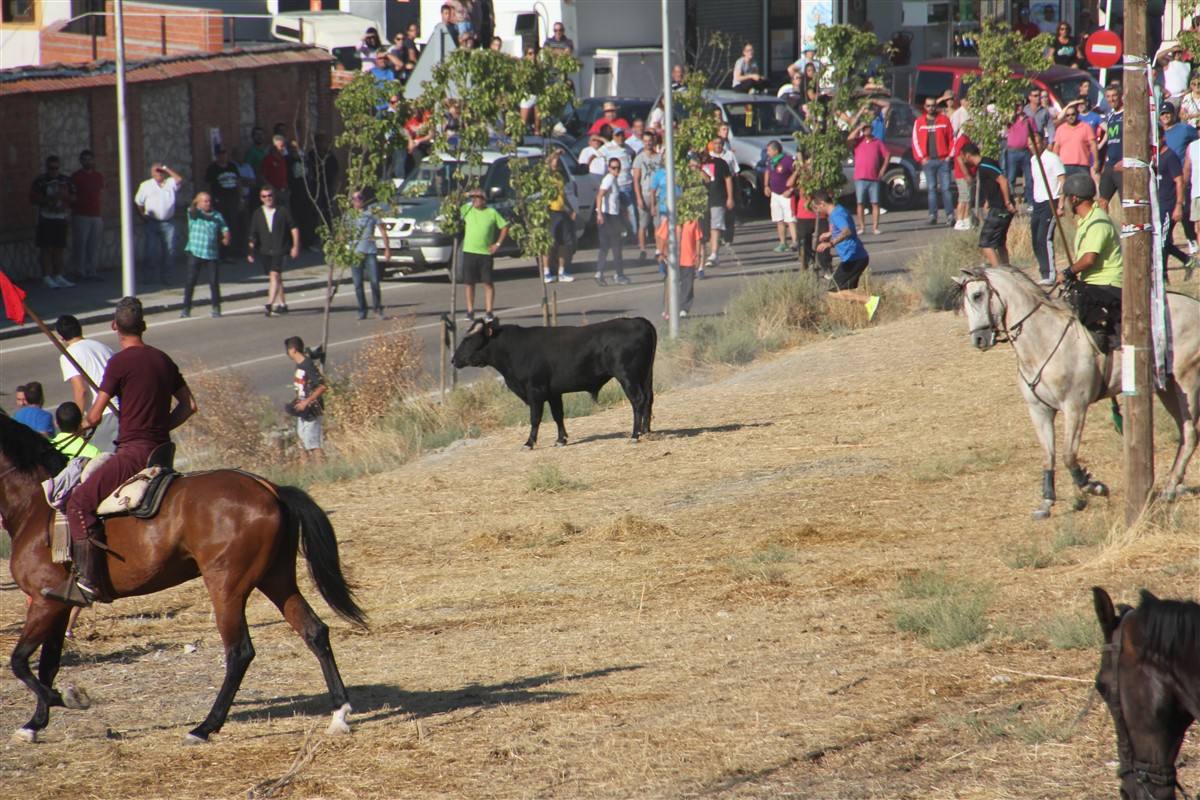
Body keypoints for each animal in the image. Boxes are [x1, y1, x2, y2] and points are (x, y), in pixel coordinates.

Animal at [0, 417, 364, 748]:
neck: (35, 506)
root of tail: (269, 488)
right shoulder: (59, 606)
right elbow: (47, 664)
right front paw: (35, 723)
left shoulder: (45, 603)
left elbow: (20, 662)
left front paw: (66, 698)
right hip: (277, 578)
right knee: (314, 631)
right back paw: (340, 713)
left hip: (227, 588)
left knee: (239, 652)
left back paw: (205, 727)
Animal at [451, 316, 657, 448]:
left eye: (469, 340)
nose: (453, 360)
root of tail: (639, 321)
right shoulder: (553, 392)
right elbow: (558, 415)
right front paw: (560, 440)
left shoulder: (535, 390)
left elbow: (535, 418)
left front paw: (529, 443)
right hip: (645, 375)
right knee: (648, 398)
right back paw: (646, 431)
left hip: (628, 376)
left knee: (638, 400)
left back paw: (635, 435)